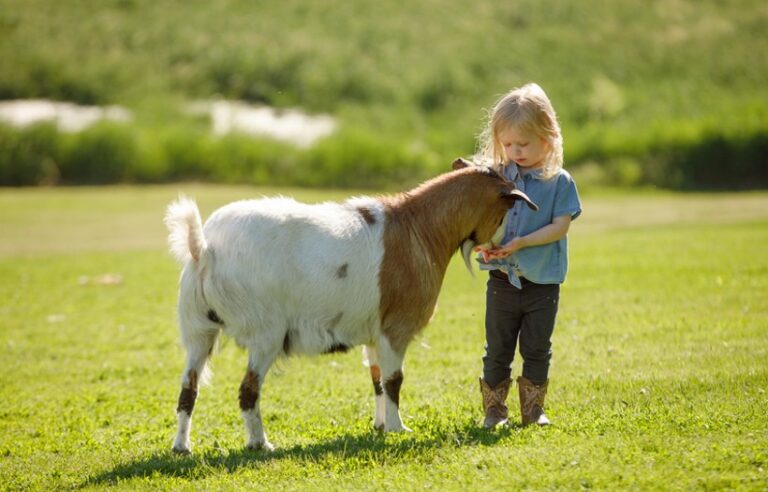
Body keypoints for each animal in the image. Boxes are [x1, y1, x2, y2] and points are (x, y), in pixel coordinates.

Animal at [165, 158, 537, 453]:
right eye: (509, 208)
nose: (503, 248)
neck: (419, 228)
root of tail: (204, 249)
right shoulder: (395, 329)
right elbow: (394, 380)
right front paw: (399, 428)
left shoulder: (373, 332)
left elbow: (377, 380)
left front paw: (380, 426)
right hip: (266, 333)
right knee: (248, 390)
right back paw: (261, 444)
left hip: (198, 330)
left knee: (188, 388)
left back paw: (182, 446)